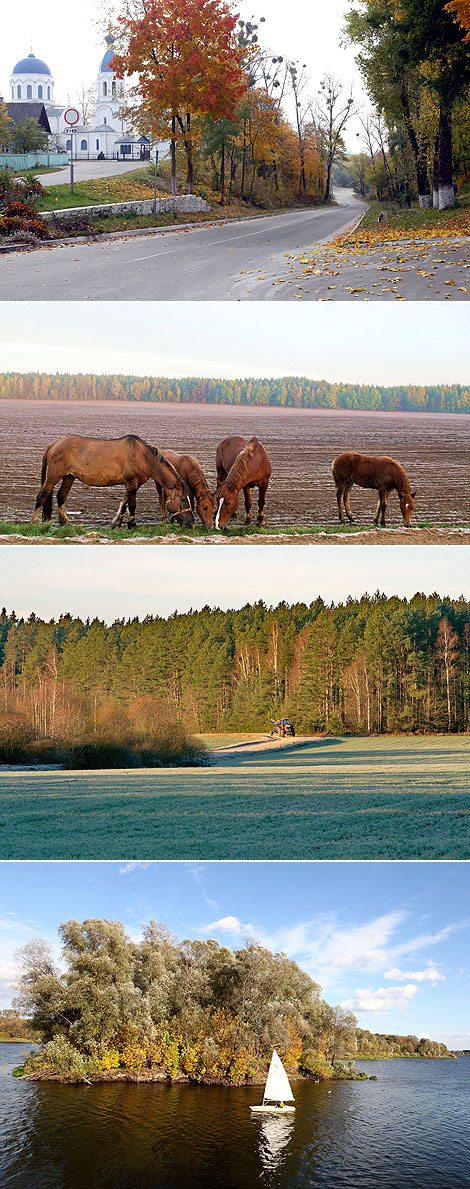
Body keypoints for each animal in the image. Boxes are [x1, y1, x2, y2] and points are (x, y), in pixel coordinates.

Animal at [32, 435, 195, 527]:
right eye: (183, 499)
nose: (191, 523)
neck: (143, 456)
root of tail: (53, 445)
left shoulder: (132, 485)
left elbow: (123, 505)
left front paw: (116, 524)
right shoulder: (131, 483)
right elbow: (132, 506)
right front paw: (131, 526)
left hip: (69, 477)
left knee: (61, 496)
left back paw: (64, 522)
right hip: (53, 476)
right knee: (42, 495)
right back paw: (34, 523)